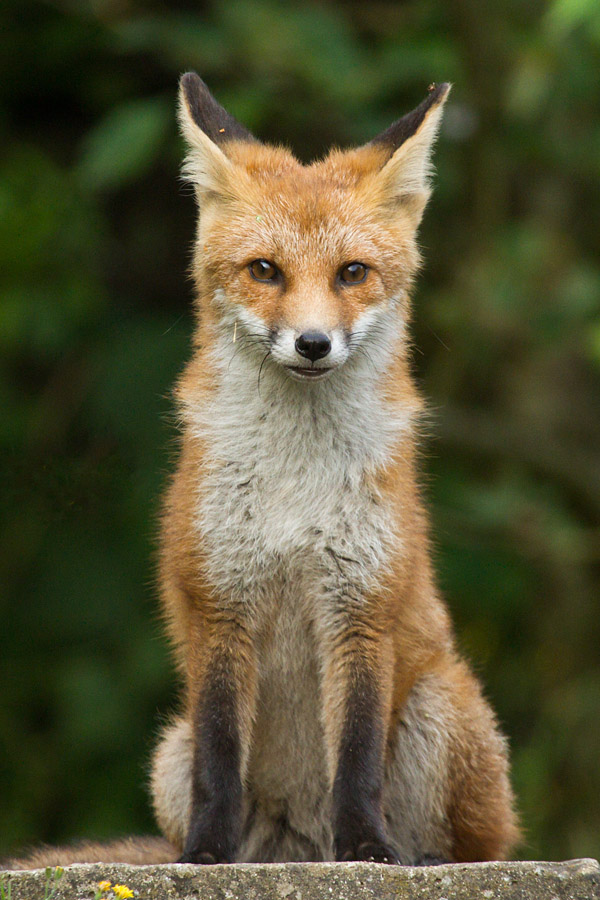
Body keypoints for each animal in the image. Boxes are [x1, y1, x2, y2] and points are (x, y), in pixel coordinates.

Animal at [5, 73, 519, 871]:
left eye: (352, 273)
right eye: (265, 271)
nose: (312, 343)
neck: (294, 490)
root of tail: (300, 848)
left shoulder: (361, 607)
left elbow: (357, 758)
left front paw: (367, 850)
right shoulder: (220, 600)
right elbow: (221, 758)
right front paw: (205, 860)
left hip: (444, 708)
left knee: (484, 845)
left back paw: (418, 859)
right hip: (169, 750)